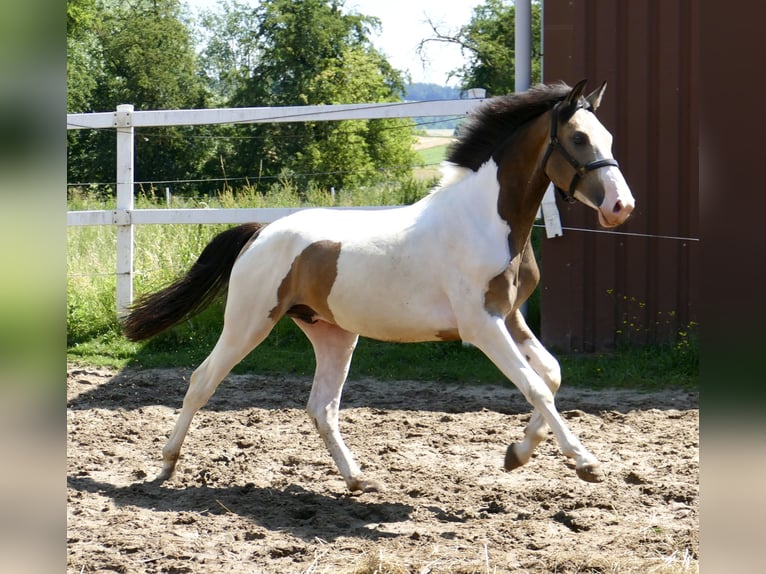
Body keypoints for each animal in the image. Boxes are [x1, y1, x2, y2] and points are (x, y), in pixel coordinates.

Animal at [122, 79, 635, 493]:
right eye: (578, 138)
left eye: (609, 137)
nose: (620, 206)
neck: (484, 220)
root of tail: (260, 232)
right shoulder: (481, 325)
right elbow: (536, 386)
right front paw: (584, 462)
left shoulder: (508, 316)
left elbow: (551, 374)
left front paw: (517, 454)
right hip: (248, 323)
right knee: (201, 381)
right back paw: (164, 467)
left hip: (333, 334)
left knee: (321, 407)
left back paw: (357, 479)